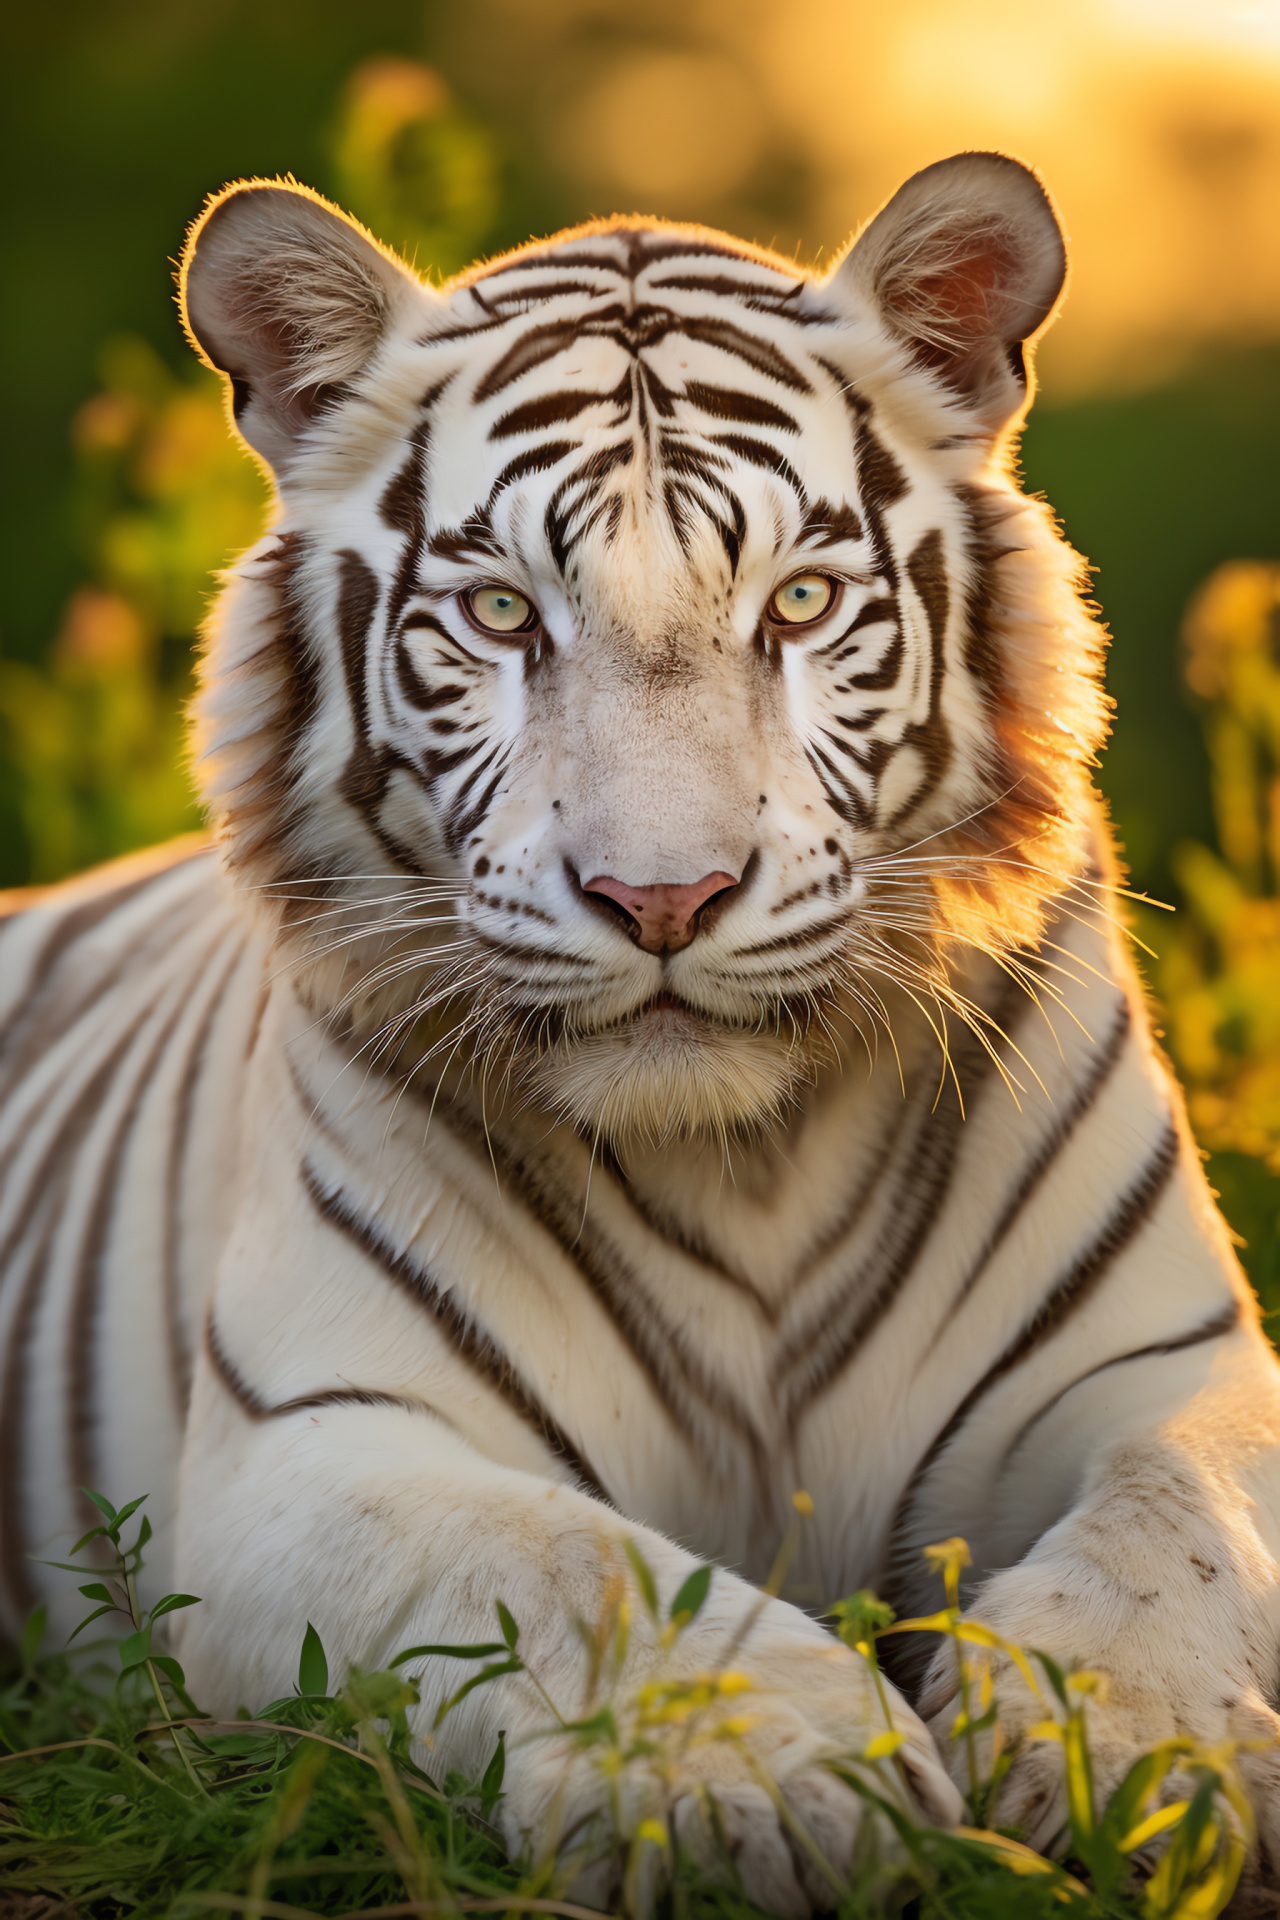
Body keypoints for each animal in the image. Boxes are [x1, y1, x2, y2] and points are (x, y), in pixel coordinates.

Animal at [2, 153, 1280, 1920]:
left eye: (800, 602)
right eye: (496, 612)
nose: (661, 898)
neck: (741, 1159)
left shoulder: (1165, 1366)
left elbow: (1174, 1519)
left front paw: (1138, 1754)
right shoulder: (315, 1445)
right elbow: (567, 1566)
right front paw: (779, 1774)